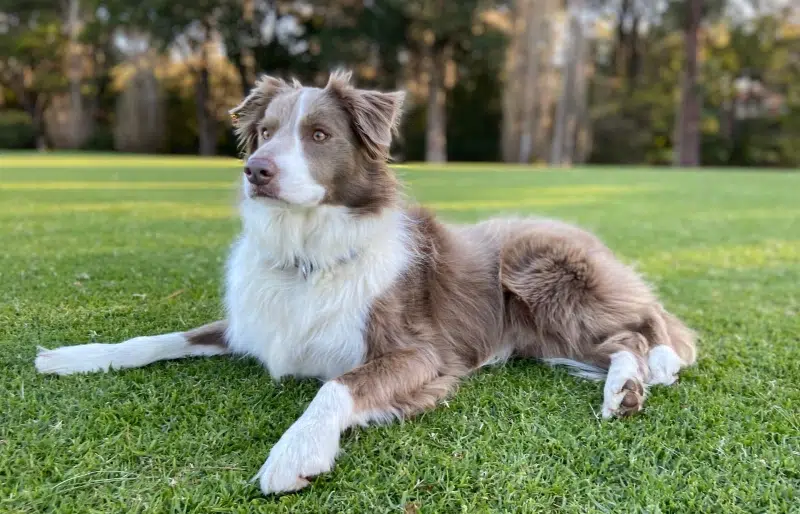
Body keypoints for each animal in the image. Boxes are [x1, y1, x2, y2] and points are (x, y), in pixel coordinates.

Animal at [32, 70, 692, 494]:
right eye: (266, 132)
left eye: (319, 135)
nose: (255, 171)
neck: (305, 255)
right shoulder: (250, 324)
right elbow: (158, 338)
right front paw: (75, 356)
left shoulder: (421, 354)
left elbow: (337, 385)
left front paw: (295, 451)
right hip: (544, 334)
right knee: (619, 337)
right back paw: (624, 386)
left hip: (541, 273)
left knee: (643, 324)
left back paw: (643, 373)